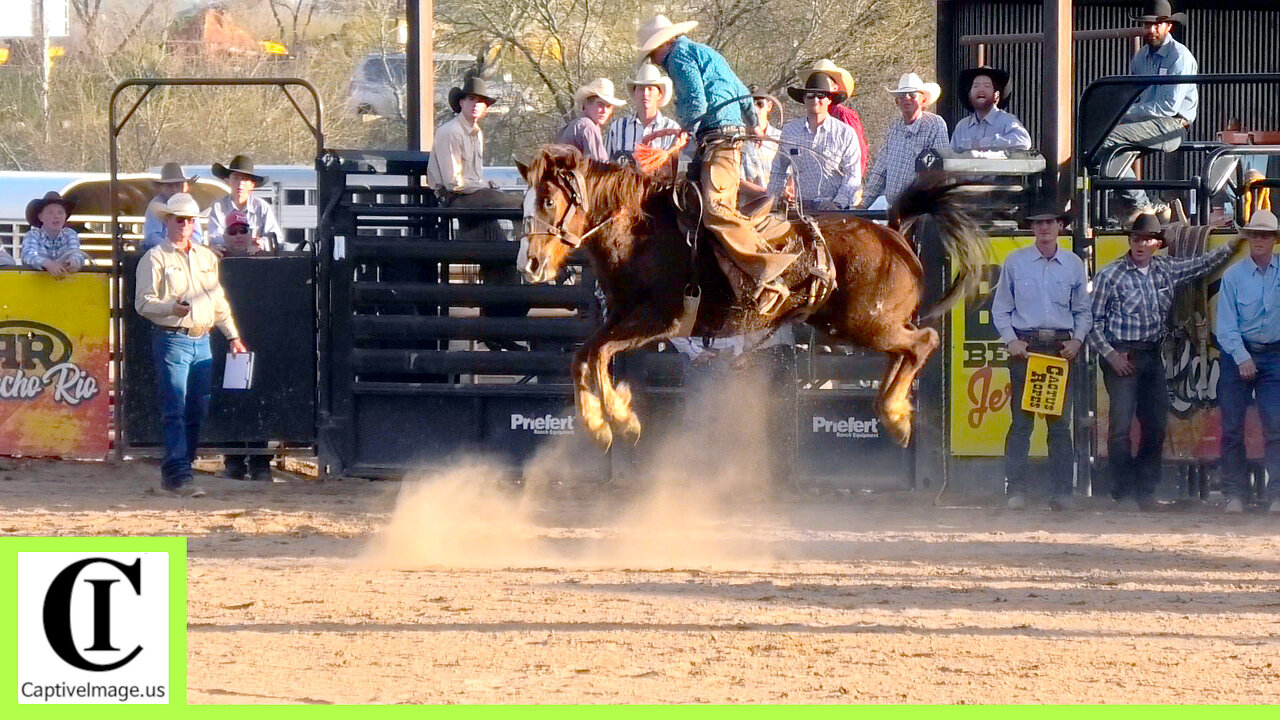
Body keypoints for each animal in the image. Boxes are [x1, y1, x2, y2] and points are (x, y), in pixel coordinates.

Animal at [514, 144, 983, 448]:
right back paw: (894, 411)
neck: (642, 233)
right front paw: (598, 424)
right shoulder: (621, 317)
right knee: (905, 353)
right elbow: (583, 357)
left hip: (867, 323)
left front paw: (623, 421)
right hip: (853, 325)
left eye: (550, 199)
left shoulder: (660, 320)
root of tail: (894, 235)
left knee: (923, 342)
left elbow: (599, 356)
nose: (530, 264)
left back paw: (896, 416)